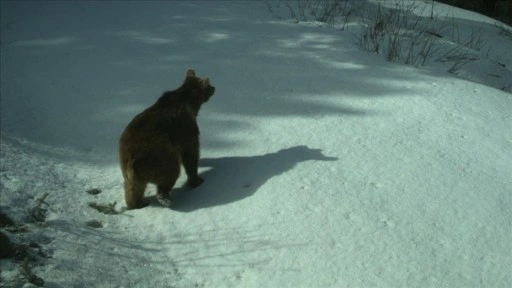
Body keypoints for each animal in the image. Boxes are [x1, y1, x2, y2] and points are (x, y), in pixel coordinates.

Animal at [118, 70, 214, 209]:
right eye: (209, 84)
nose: (214, 88)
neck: (191, 104)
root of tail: (131, 162)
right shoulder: (186, 129)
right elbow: (190, 153)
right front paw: (197, 180)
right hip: (158, 157)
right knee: (170, 173)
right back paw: (165, 198)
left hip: (127, 164)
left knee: (133, 189)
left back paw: (138, 204)